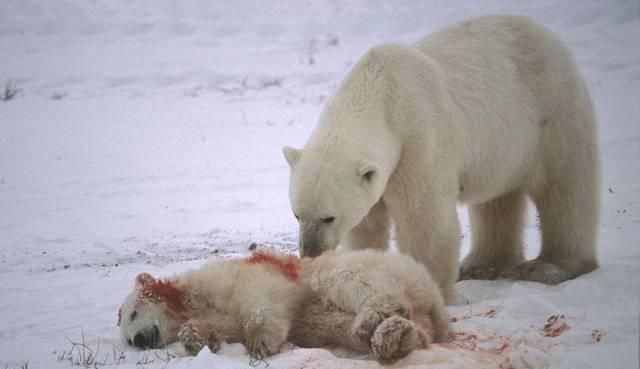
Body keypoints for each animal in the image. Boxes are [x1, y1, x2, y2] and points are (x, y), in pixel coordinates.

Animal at [284, 15, 600, 302]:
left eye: (329, 217)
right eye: (297, 214)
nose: (310, 252)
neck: (380, 90)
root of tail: (549, 37)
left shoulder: (419, 139)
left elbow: (425, 218)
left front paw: (433, 289)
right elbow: (366, 226)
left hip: (552, 113)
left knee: (564, 189)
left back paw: (549, 267)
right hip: (501, 147)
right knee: (496, 199)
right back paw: (481, 265)